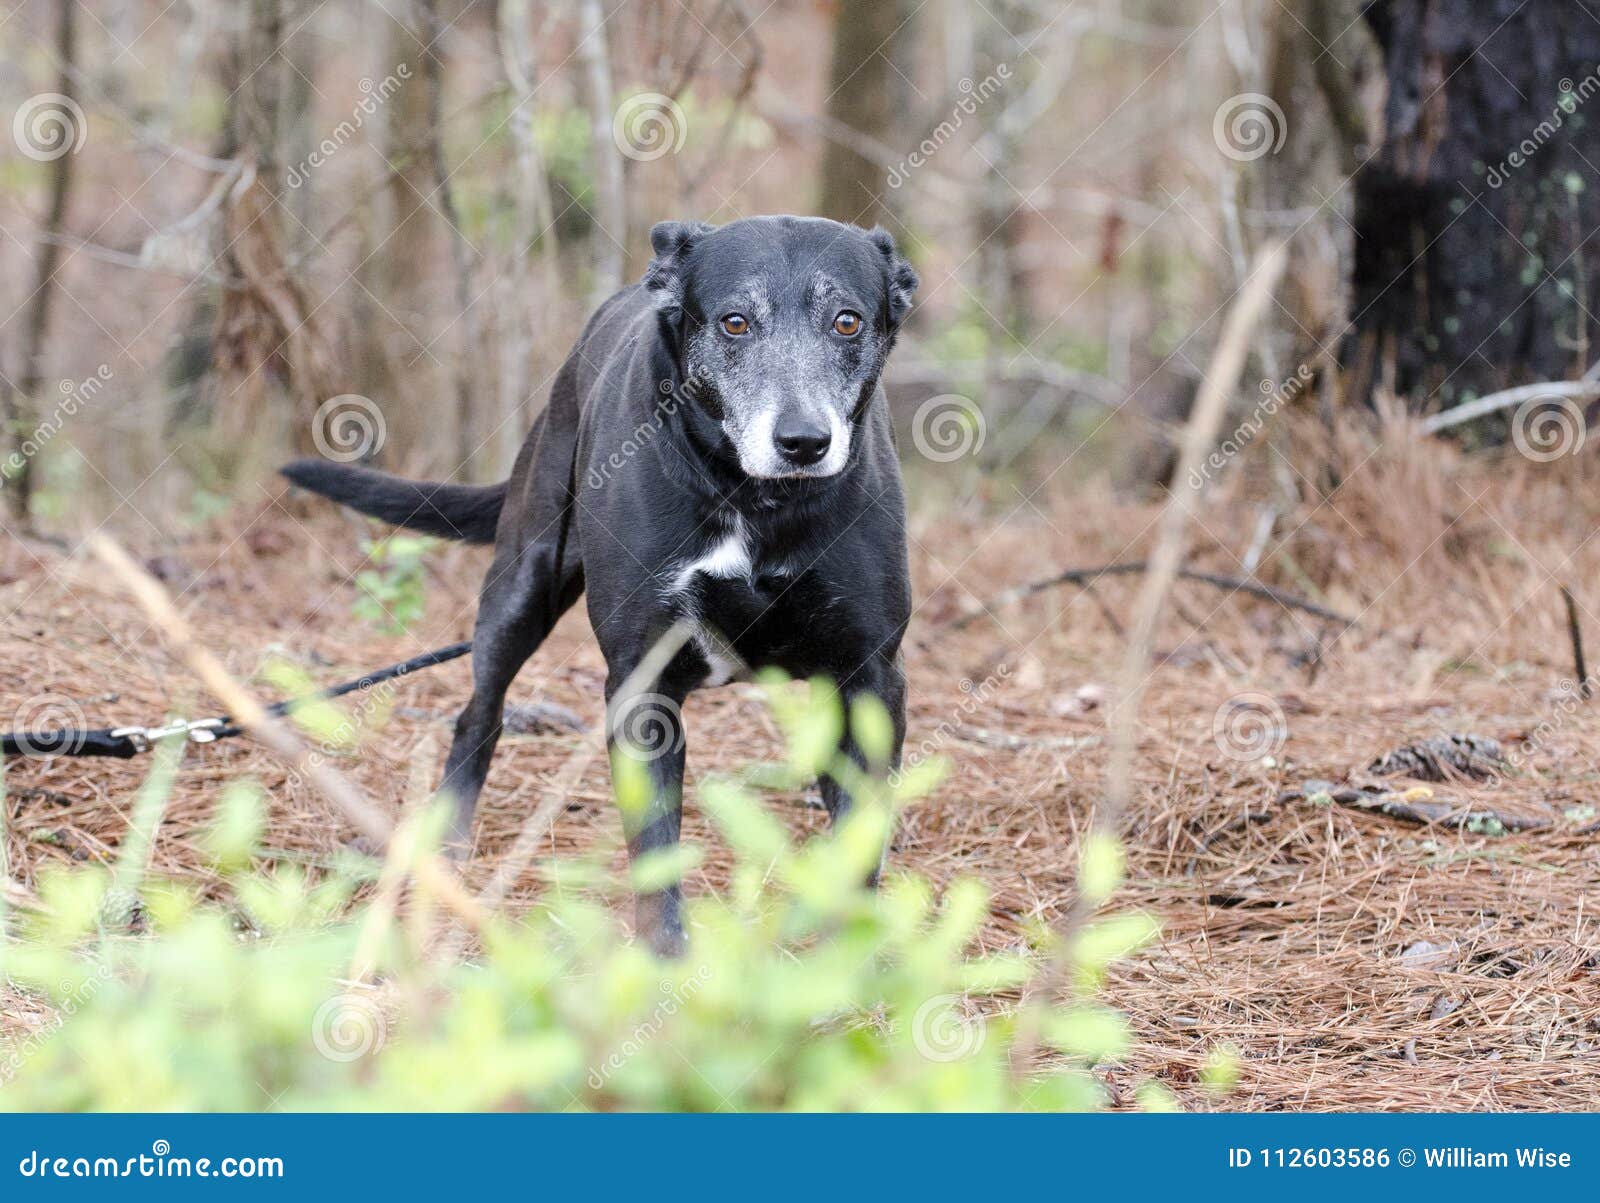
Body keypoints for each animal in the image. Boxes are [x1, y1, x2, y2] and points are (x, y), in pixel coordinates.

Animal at [281, 214, 921, 947]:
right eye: (734, 323)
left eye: (847, 321)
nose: (805, 442)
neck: (754, 501)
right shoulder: (642, 681)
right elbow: (655, 852)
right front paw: (664, 960)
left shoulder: (869, 678)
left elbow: (860, 840)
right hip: (520, 590)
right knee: (478, 717)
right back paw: (449, 842)